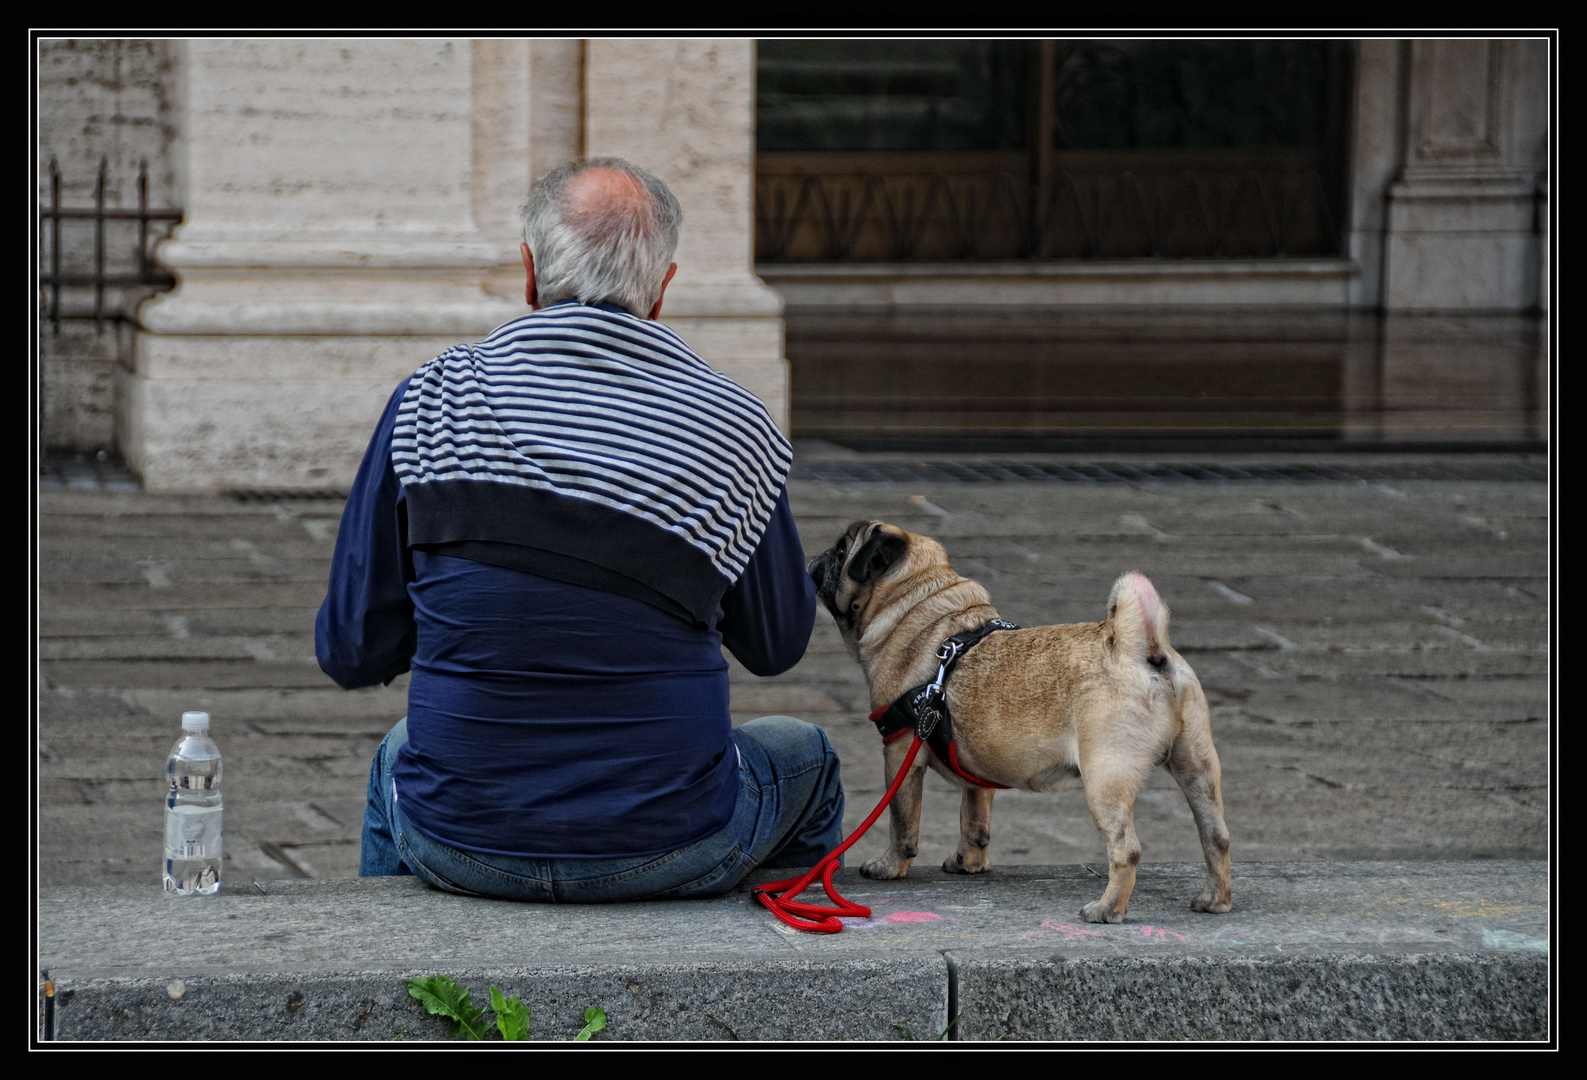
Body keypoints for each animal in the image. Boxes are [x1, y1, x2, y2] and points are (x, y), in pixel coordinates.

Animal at [812, 517, 1231, 919]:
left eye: (841, 551)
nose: (817, 558)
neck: (919, 606)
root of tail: (1144, 649)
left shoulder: (900, 753)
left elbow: (901, 818)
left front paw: (889, 866)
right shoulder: (976, 762)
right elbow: (974, 815)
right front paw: (969, 862)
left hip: (1106, 776)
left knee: (1126, 849)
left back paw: (1107, 910)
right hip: (1197, 765)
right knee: (1215, 835)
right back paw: (1214, 899)